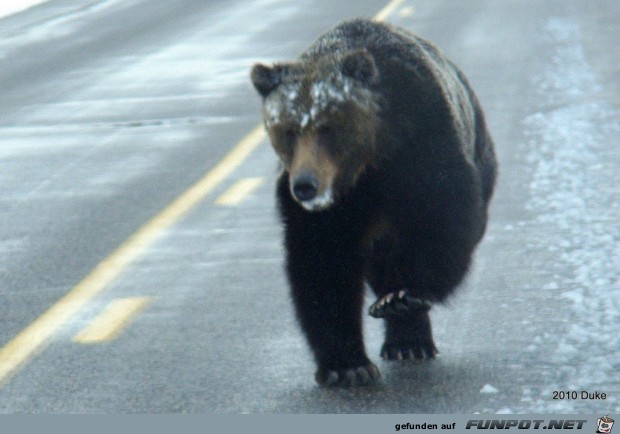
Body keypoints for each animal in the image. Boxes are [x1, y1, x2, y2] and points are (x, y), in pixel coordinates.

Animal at [249, 19, 496, 386]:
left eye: (326, 127)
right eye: (288, 130)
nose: (305, 186)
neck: (366, 162)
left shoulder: (421, 145)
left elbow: (439, 222)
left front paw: (403, 297)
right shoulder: (332, 207)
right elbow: (323, 263)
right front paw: (347, 365)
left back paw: (408, 335)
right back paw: (405, 340)